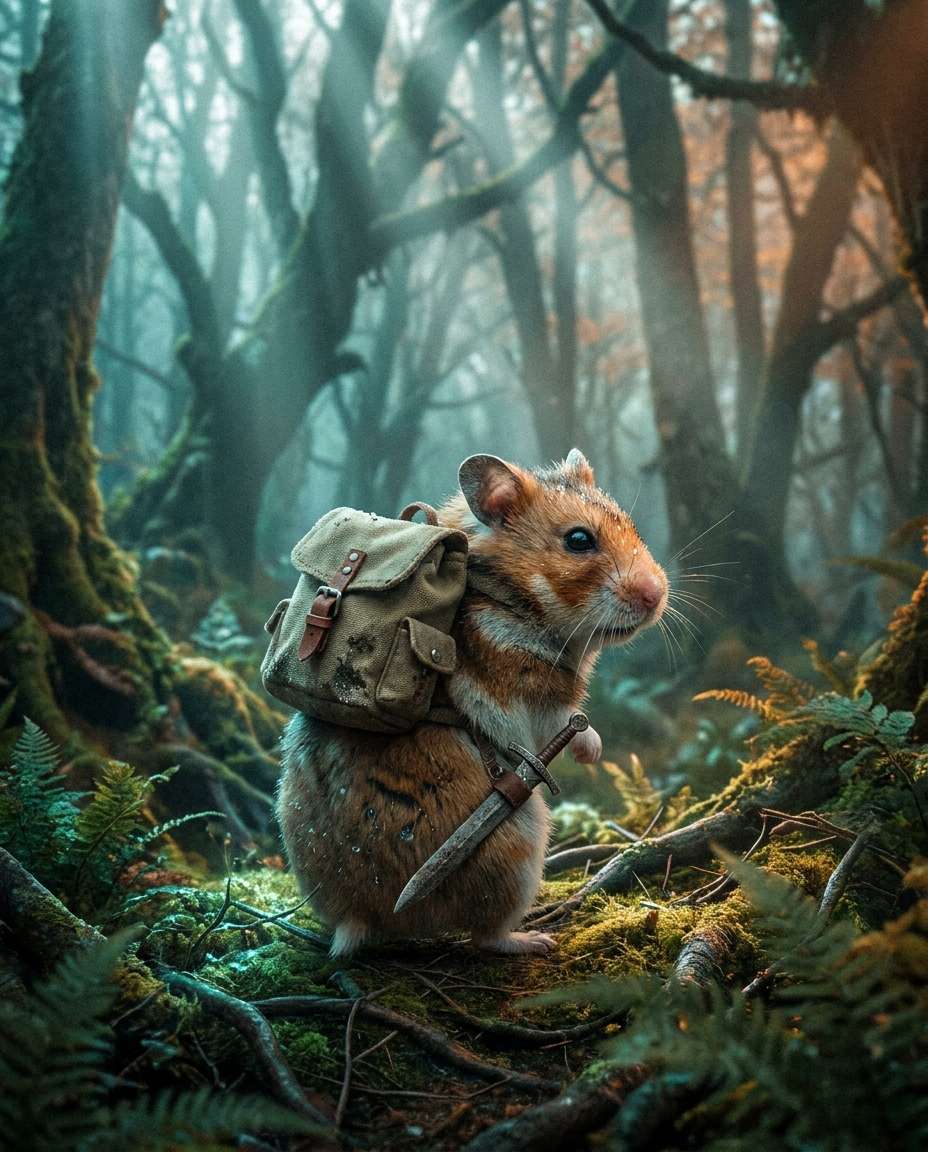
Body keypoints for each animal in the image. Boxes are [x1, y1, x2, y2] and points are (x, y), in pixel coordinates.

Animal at [276, 450, 668, 957]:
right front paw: (594, 752)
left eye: (631, 526)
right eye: (579, 540)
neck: (509, 595)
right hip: (521, 838)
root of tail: (361, 916)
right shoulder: (529, 699)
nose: (657, 595)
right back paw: (535, 939)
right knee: (485, 936)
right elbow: (569, 721)